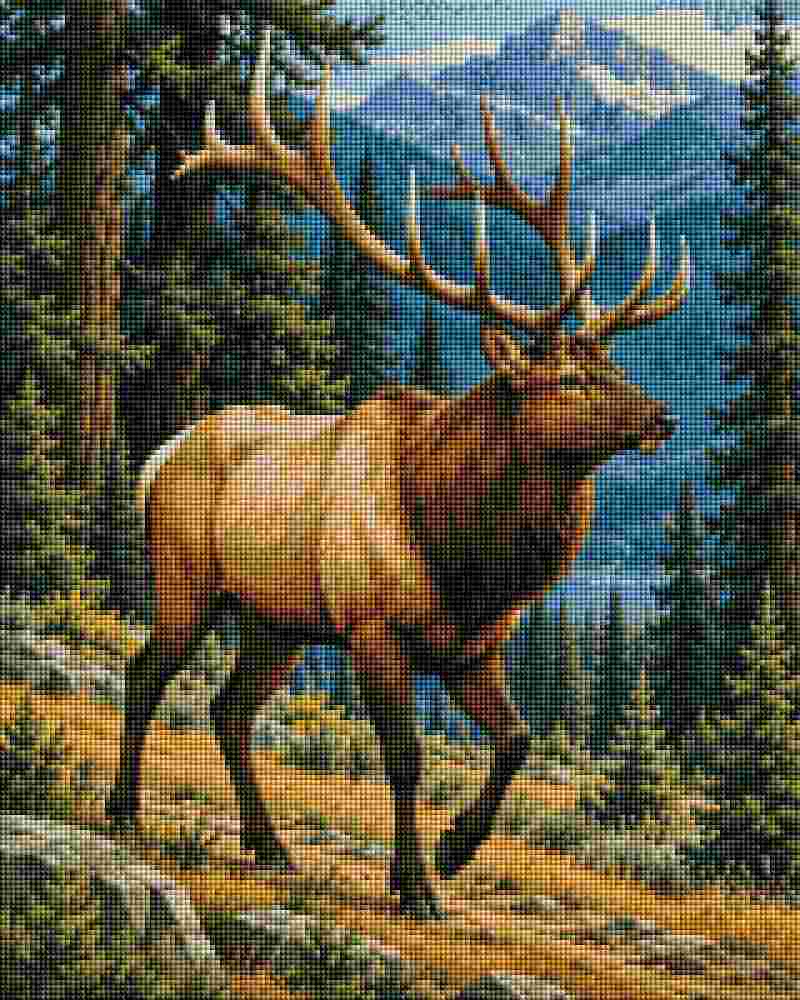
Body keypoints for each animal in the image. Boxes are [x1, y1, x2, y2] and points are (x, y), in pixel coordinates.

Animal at [105, 28, 690, 920]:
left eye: (613, 364)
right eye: (569, 378)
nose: (662, 418)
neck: (466, 555)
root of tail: (156, 458)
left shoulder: (475, 647)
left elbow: (518, 739)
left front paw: (454, 850)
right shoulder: (374, 624)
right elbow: (407, 756)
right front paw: (416, 884)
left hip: (275, 619)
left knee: (228, 708)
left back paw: (271, 845)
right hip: (188, 579)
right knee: (146, 676)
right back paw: (125, 808)